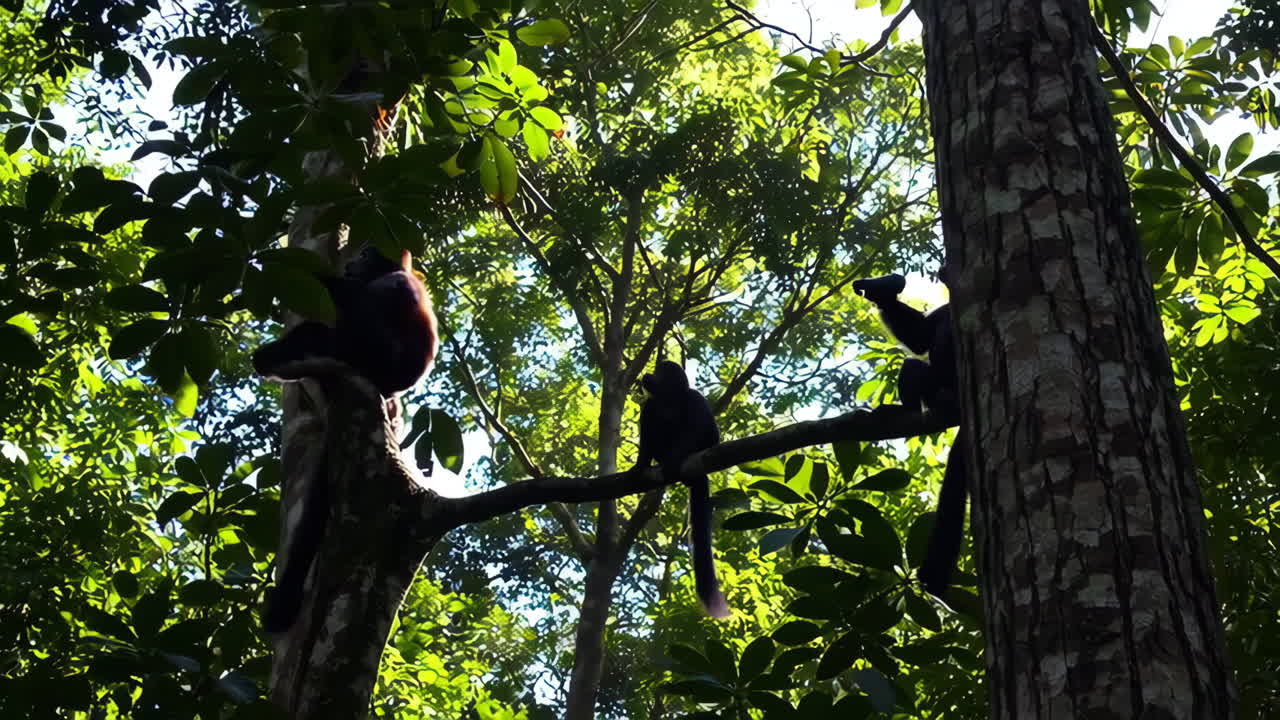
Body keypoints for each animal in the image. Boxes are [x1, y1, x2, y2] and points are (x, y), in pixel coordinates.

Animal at [254, 245, 437, 632]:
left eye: (366, 255)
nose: (353, 263)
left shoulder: (393, 283)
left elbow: (351, 302)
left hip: (374, 356)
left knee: (342, 326)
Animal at [633, 360, 730, 618]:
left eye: (659, 372)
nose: (648, 374)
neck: (669, 399)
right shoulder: (649, 406)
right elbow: (646, 439)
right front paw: (639, 466)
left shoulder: (694, 398)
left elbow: (709, 434)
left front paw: (677, 455)